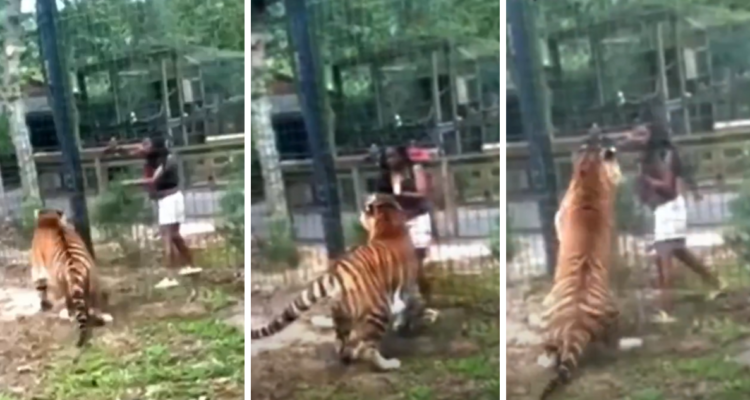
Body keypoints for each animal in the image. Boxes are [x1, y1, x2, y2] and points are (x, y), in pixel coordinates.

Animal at [30, 208, 112, 348]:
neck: (50, 220)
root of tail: (74, 267)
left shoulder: (38, 267)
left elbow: (40, 285)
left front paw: (44, 305)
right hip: (93, 279)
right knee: (94, 304)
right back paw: (100, 316)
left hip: (63, 283)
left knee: (70, 302)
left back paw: (69, 315)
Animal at [251, 193, 438, 371]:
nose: (362, 210)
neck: (387, 222)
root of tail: (336, 273)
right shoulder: (407, 286)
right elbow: (411, 304)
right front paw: (414, 319)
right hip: (379, 312)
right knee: (370, 347)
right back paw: (387, 364)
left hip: (343, 316)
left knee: (340, 345)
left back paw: (350, 356)